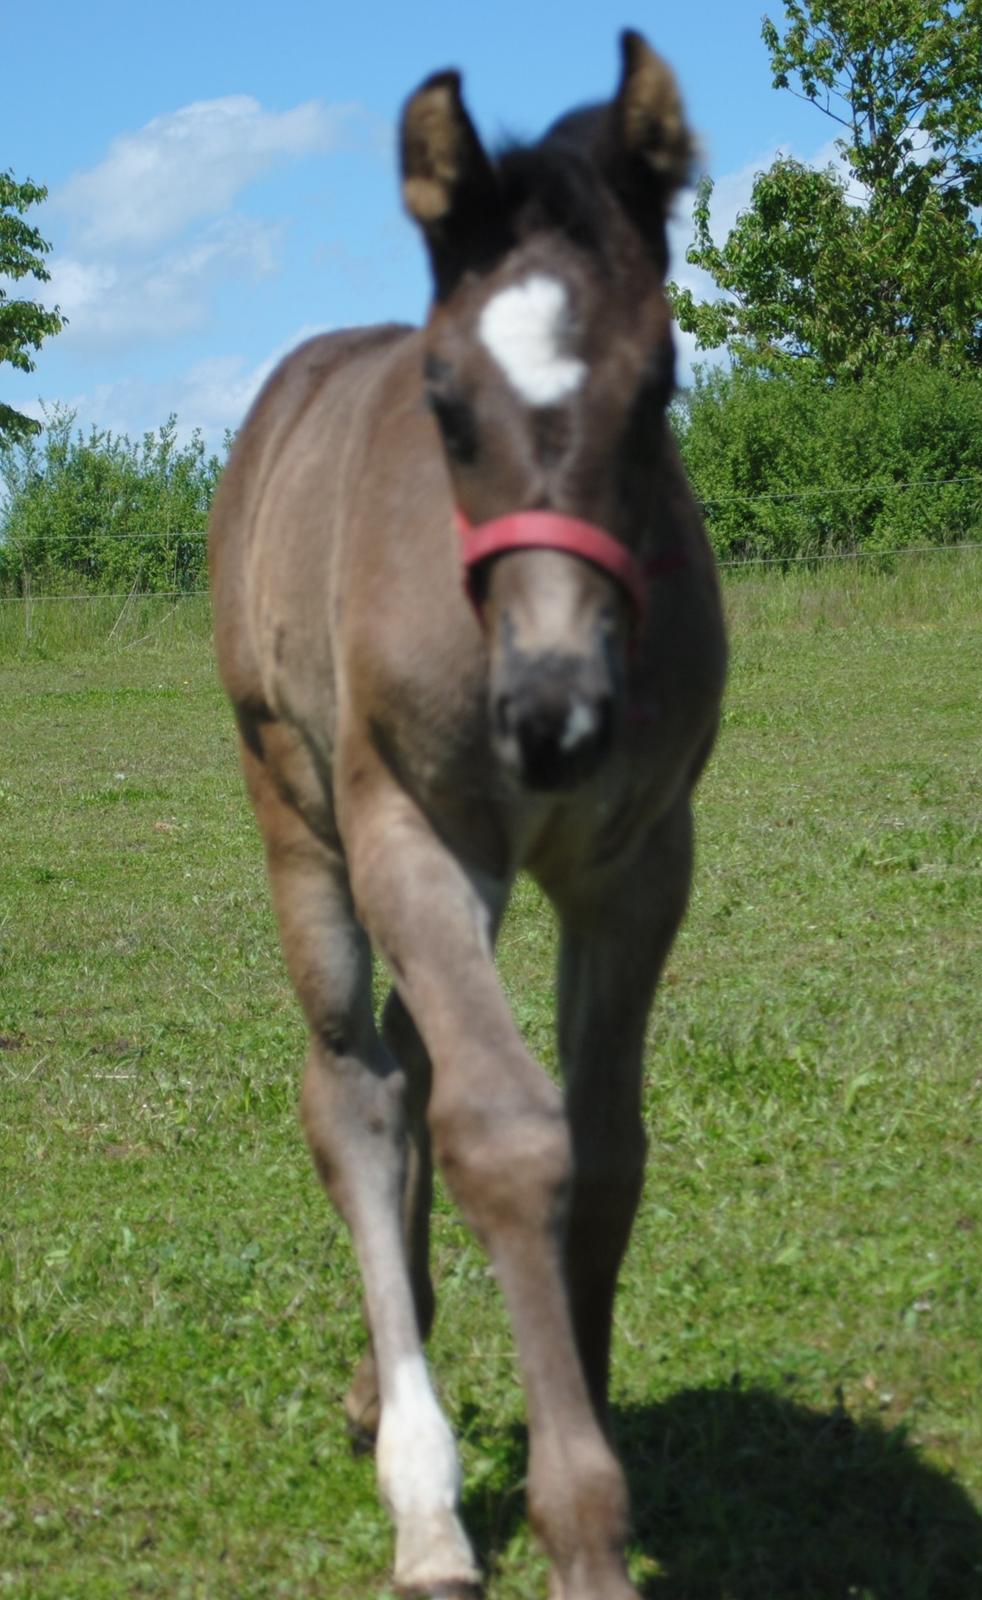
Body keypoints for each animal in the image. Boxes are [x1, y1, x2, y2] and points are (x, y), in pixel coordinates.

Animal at [211, 28, 726, 1600]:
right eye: (443, 403)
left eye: (659, 385)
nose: (555, 714)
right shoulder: (415, 839)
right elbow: (508, 1132)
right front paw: (576, 1528)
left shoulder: (637, 864)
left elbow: (605, 1149)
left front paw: (601, 1440)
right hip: (305, 819)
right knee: (357, 1089)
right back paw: (422, 1491)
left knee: (410, 1060)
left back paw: (386, 1390)